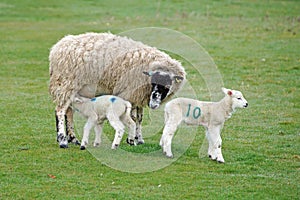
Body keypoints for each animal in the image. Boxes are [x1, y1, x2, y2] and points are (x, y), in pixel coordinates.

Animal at [48, 32, 185, 148]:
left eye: (166, 86)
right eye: (153, 83)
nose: (153, 104)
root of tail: (56, 48)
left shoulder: (138, 95)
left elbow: (139, 118)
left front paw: (139, 138)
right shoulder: (130, 93)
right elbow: (133, 118)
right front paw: (131, 140)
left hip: (71, 88)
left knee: (69, 111)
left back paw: (73, 138)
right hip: (65, 84)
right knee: (60, 111)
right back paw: (63, 141)